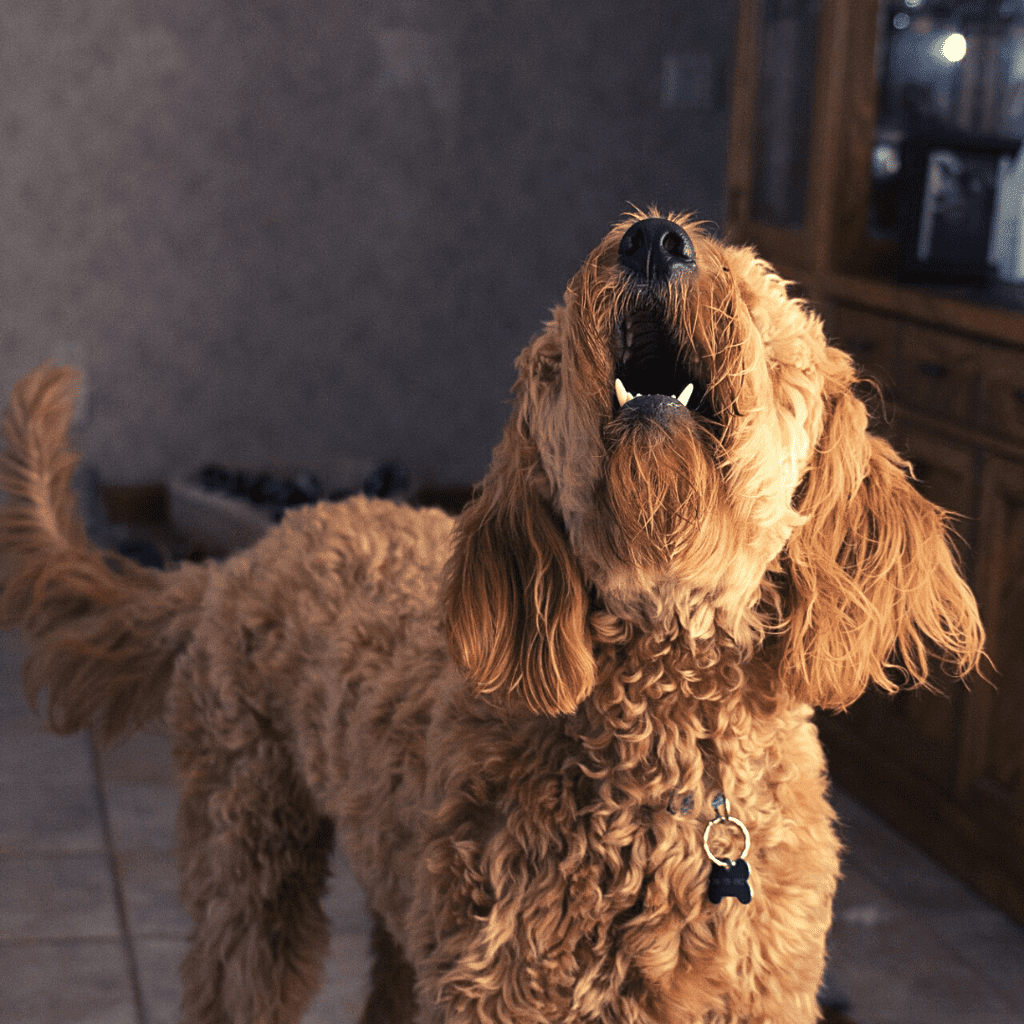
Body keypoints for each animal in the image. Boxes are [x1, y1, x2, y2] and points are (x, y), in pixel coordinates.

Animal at [4, 209, 987, 1024]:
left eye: (749, 288)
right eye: (555, 357)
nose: (654, 239)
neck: (665, 759)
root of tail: (244, 557)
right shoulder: (503, 990)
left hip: (404, 900)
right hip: (249, 851)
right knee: (234, 974)